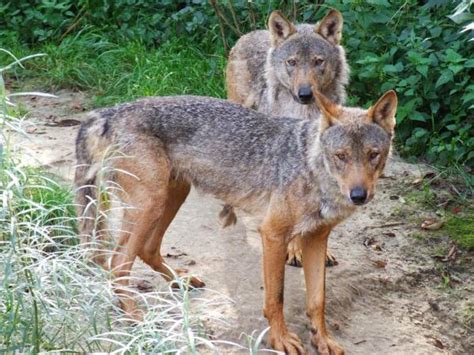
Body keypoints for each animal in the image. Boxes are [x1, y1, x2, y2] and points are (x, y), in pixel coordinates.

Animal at [76, 90, 398, 354]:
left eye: (373, 155)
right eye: (340, 156)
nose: (359, 195)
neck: (311, 168)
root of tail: (109, 112)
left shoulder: (316, 239)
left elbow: (317, 301)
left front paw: (323, 341)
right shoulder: (273, 234)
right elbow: (276, 298)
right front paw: (280, 340)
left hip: (171, 197)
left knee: (145, 249)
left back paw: (179, 281)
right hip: (150, 206)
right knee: (117, 263)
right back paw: (134, 316)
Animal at [224, 8, 350, 268]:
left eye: (318, 61)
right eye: (292, 62)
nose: (305, 94)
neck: (305, 114)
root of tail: (250, 33)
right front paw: (293, 250)